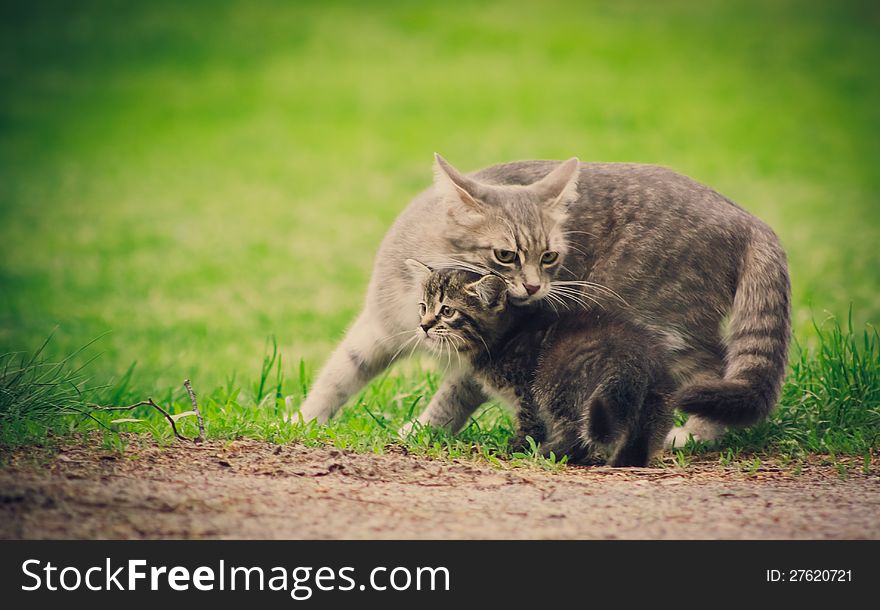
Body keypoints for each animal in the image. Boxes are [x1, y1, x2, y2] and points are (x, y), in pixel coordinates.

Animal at [294, 154, 792, 444]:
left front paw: (419, 430)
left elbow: (450, 399)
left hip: (665, 326)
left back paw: (692, 436)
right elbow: (339, 374)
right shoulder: (378, 327)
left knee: (713, 374)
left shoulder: (487, 357)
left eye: (550, 256)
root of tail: (748, 218)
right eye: (505, 255)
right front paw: (301, 420)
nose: (535, 288)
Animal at [410, 262, 672, 466]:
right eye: (423, 307)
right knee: (640, 436)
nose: (423, 325)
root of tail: (635, 358)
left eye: (447, 311)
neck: (505, 336)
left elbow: (530, 423)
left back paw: (547, 452)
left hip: (557, 382)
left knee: (575, 431)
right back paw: (625, 461)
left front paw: (517, 448)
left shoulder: (526, 389)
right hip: (653, 402)